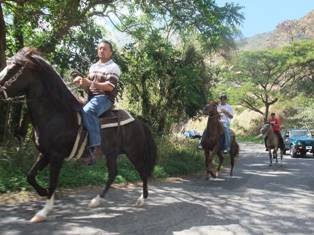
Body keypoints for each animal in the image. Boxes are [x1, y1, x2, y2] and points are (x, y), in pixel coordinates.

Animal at [0, 47, 157, 222]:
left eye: (12, 69)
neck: (56, 114)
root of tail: (139, 123)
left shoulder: (56, 156)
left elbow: (52, 182)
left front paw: (43, 211)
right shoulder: (44, 154)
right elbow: (30, 176)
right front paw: (44, 193)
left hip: (133, 152)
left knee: (143, 171)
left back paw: (141, 199)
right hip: (111, 153)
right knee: (113, 173)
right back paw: (96, 200)